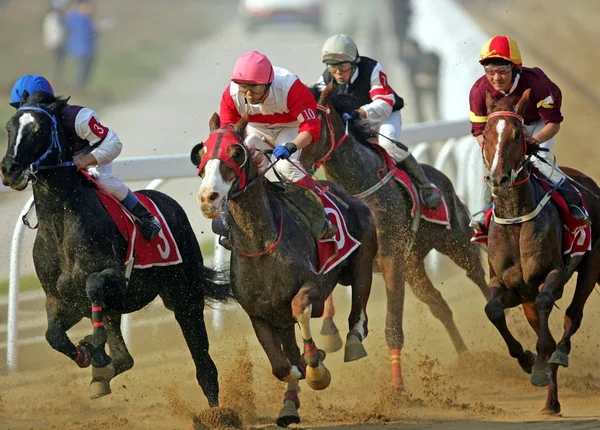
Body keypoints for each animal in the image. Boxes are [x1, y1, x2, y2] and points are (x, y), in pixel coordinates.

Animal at [0, 90, 232, 406]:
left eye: (38, 129)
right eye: (9, 127)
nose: (10, 170)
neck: (60, 226)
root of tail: (170, 203)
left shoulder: (114, 281)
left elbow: (95, 286)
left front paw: (93, 346)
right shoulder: (61, 301)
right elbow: (53, 335)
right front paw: (86, 354)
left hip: (185, 296)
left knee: (203, 363)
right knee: (123, 357)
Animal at [192, 113, 378, 426]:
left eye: (236, 153)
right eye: (201, 152)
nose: (209, 198)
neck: (261, 244)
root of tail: (343, 193)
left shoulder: (313, 287)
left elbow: (301, 308)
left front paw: (316, 369)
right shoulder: (259, 313)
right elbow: (281, 365)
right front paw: (298, 371)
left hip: (364, 256)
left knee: (359, 306)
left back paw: (352, 342)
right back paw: (290, 404)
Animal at [308, 84, 490, 390]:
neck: (357, 188)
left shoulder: (391, 258)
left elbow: (393, 325)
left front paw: (397, 387)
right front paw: (329, 332)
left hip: (457, 242)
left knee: (480, 278)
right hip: (414, 265)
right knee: (439, 305)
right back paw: (465, 356)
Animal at [482, 88, 600, 414]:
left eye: (517, 134)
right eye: (485, 134)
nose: (498, 179)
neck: (516, 219)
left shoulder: (554, 275)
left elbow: (549, 310)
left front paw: (543, 360)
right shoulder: (510, 287)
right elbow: (492, 310)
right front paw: (527, 361)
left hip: (592, 265)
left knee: (573, 315)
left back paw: (559, 355)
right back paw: (550, 402)